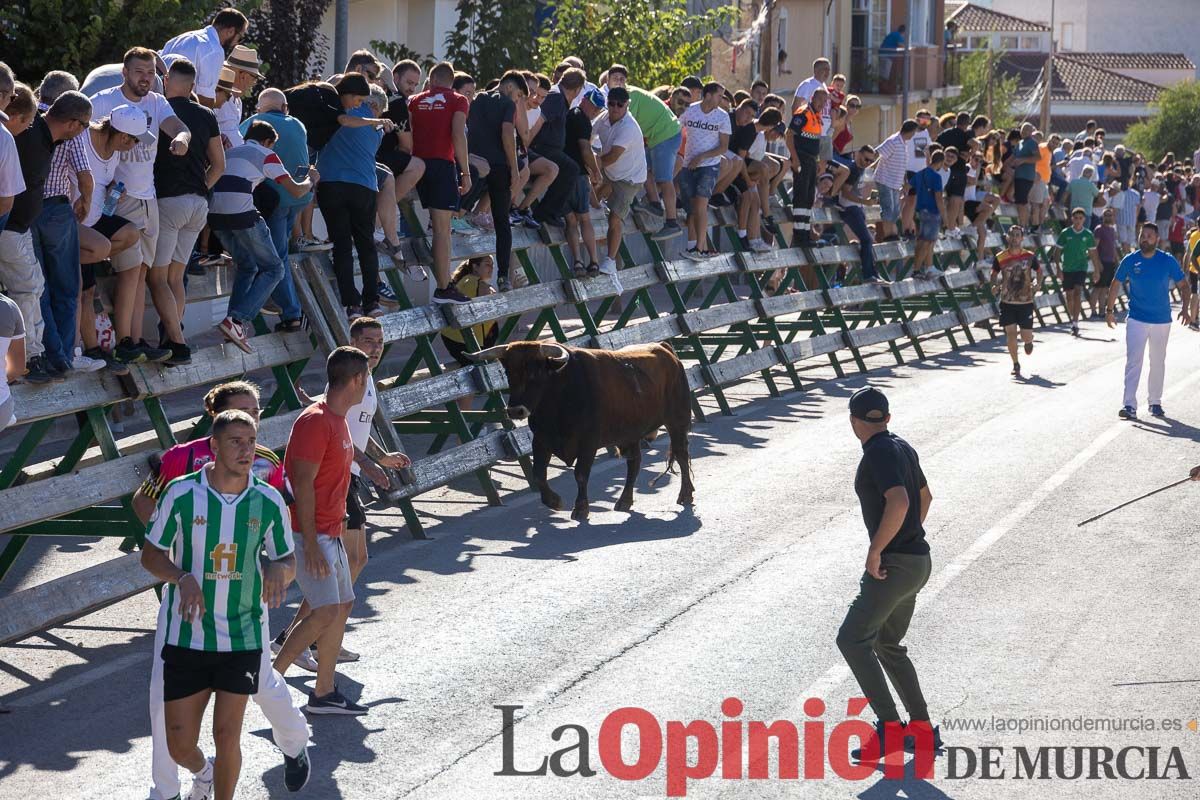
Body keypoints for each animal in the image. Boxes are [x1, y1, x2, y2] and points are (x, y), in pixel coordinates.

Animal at [468, 340, 696, 522]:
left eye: (535, 372)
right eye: (509, 373)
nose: (516, 410)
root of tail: (664, 348)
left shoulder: (588, 443)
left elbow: (580, 474)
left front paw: (580, 508)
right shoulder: (541, 441)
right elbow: (539, 474)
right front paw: (554, 501)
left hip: (677, 421)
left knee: (681, 455)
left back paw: (685, 494)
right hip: (628, 433)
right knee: (634, 462)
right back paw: (624, 500)